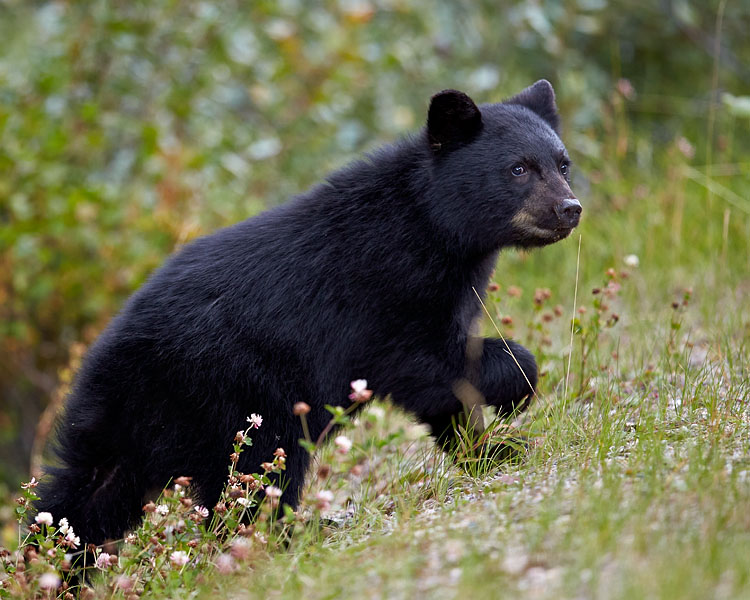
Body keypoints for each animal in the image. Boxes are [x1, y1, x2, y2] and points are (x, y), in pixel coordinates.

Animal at [34, 79, 580, 544]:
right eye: (518, 169)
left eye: (563, 164)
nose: (570, 209)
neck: (437, 229)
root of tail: (108, 353)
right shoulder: (384, 293)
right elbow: (427, 363)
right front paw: (516, 390)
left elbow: (447, 394)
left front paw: (492, 451)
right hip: (245, 395)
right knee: (257, 474)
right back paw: (286, 535)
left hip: (124, 421)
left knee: (84, 494)